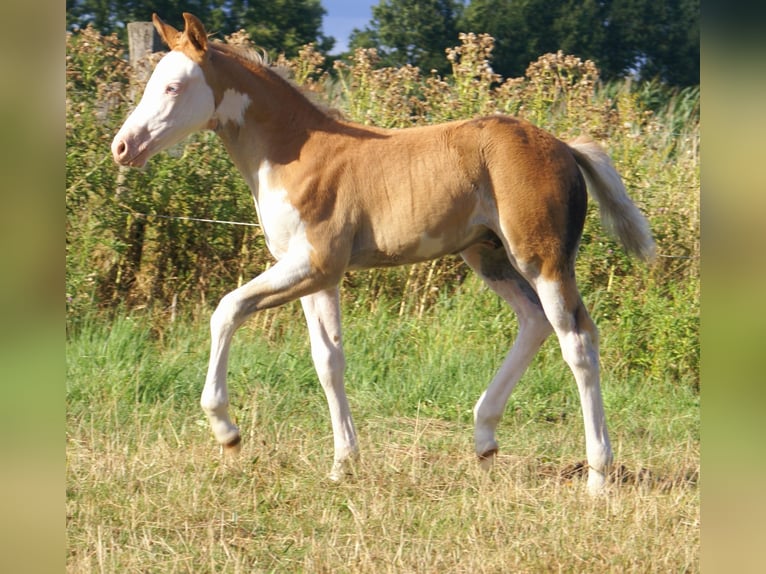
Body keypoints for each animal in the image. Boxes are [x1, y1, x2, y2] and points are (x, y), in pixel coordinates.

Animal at [112, 13, 655, 494]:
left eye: (172, 88)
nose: (122, 147)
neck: (294, 154)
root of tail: (563, 145)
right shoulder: (315, 275)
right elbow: (328, 360)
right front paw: (342, 464)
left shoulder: (315, 262)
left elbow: (226, 309)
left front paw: (227, 431)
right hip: (489, 256)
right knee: (535, 322)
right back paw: (484, 440)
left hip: (541, 258)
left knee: (577, 340)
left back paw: (598, 476)